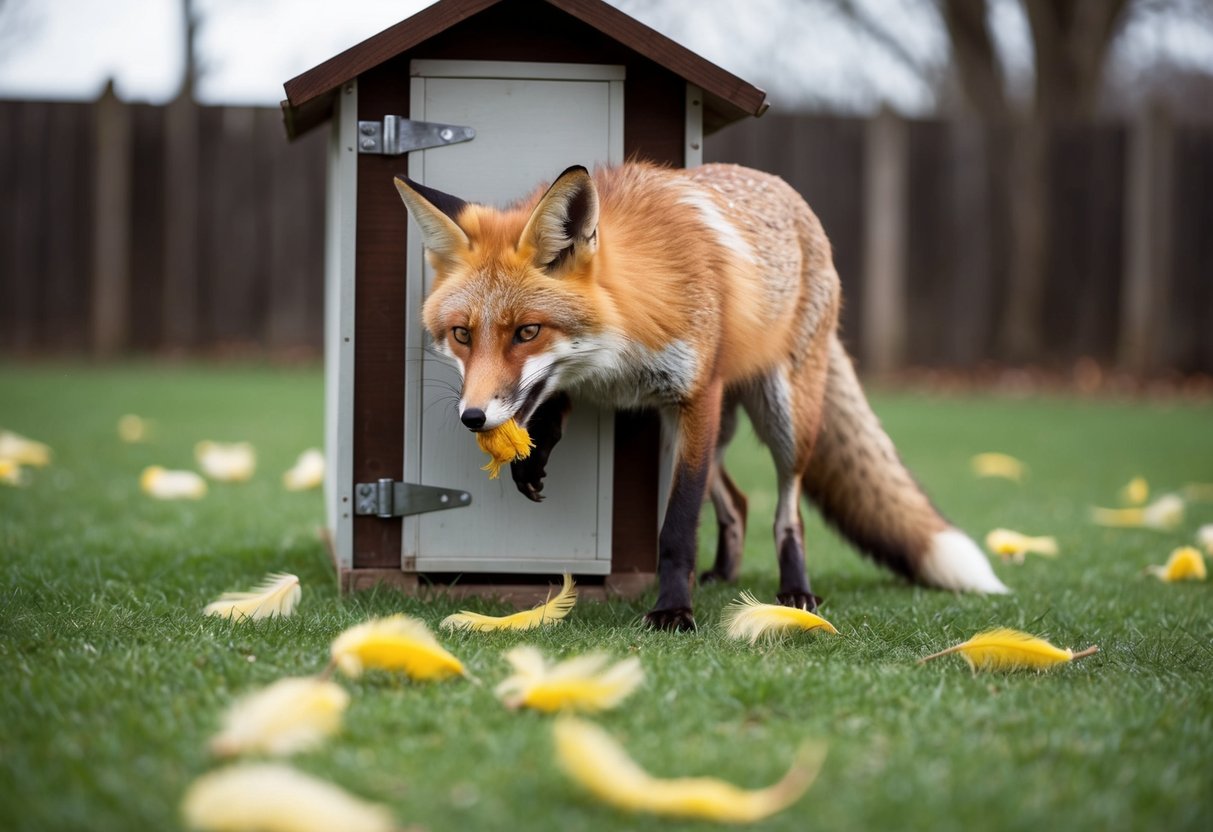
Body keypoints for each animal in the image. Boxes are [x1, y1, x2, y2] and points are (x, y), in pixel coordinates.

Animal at [393, 162, 1008, 631]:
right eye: (462, 335)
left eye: (526, 332)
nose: (473, 417)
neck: (620, 353)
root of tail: (792, 196)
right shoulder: (638, 397)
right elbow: (550, 401)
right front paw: (534, 454)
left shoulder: (696, 397)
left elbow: (678, 524)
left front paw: (673, 610)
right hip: (700, 427)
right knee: (736, 502)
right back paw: (722, 575)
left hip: (780, 416)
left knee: (787, 509)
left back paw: (795, 590)